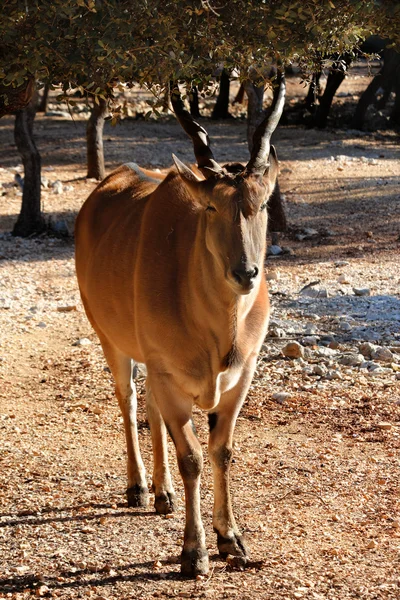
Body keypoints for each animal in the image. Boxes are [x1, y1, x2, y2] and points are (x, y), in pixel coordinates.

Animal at [75, 75, 286, 576]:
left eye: (262, 204)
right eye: (211, 208)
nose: (246, 273)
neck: (219, 333)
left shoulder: (239, 377)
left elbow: (221, 450)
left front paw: (232, 540)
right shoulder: (168, 374)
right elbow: (191, 456)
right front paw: (195, 553)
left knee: (150, 410)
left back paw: (162, 492)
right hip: (112, 341)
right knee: (130, 402)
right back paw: (138, 487)